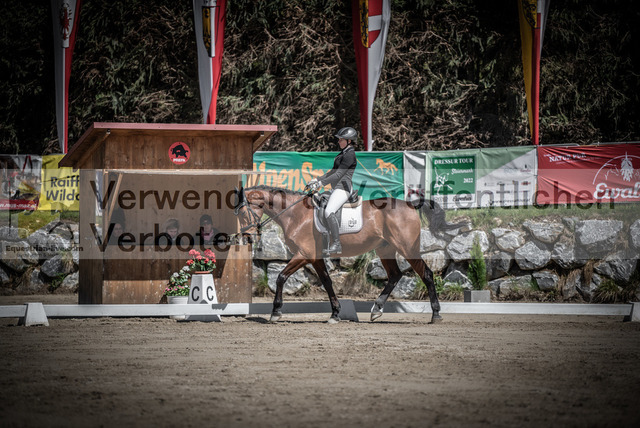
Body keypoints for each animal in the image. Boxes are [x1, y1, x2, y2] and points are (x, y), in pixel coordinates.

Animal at [234, 186, 465, 324]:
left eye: (243, 213)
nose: (247, 238)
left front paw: (276, 312)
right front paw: (335, 313)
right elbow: (327, 282)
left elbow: (281, 277)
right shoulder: (315, 257)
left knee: (426, 274)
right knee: (395, 275)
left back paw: (436, 314)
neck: (294, 214)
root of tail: (409, 204)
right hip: (385, 248)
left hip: (407, 248)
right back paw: (376, 309)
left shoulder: (304, 254)